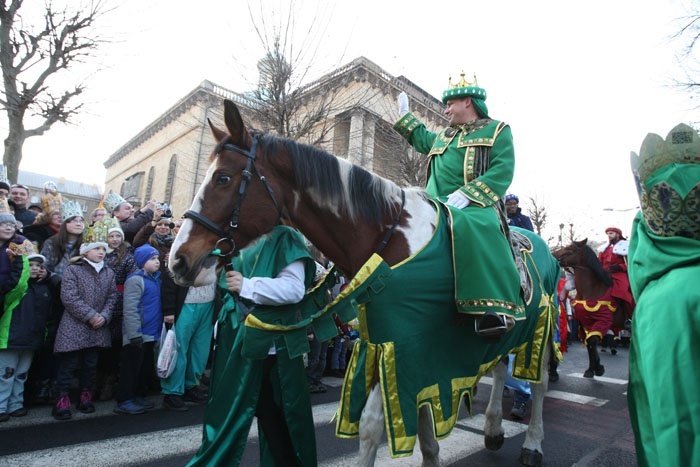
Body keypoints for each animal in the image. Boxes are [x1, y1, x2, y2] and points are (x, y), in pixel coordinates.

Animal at [168, 99, 556, 467]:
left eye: (222, 178)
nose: (178, 261)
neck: (389, 238)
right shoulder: (401, 347)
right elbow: (423, 415)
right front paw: (432, 456)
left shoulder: (403, 345)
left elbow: (372, 425)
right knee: (502, 368)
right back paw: (493, 430)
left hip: (541, 325)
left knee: (538, 383)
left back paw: (534, 444)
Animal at [552, 239, 628, 378]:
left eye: (570, 248)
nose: (553, 254)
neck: (593, 288)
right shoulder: (585, 322)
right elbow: (589, 343)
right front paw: (592, 369)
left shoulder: (603, 320)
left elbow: (592, 341)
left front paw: (598, 368)